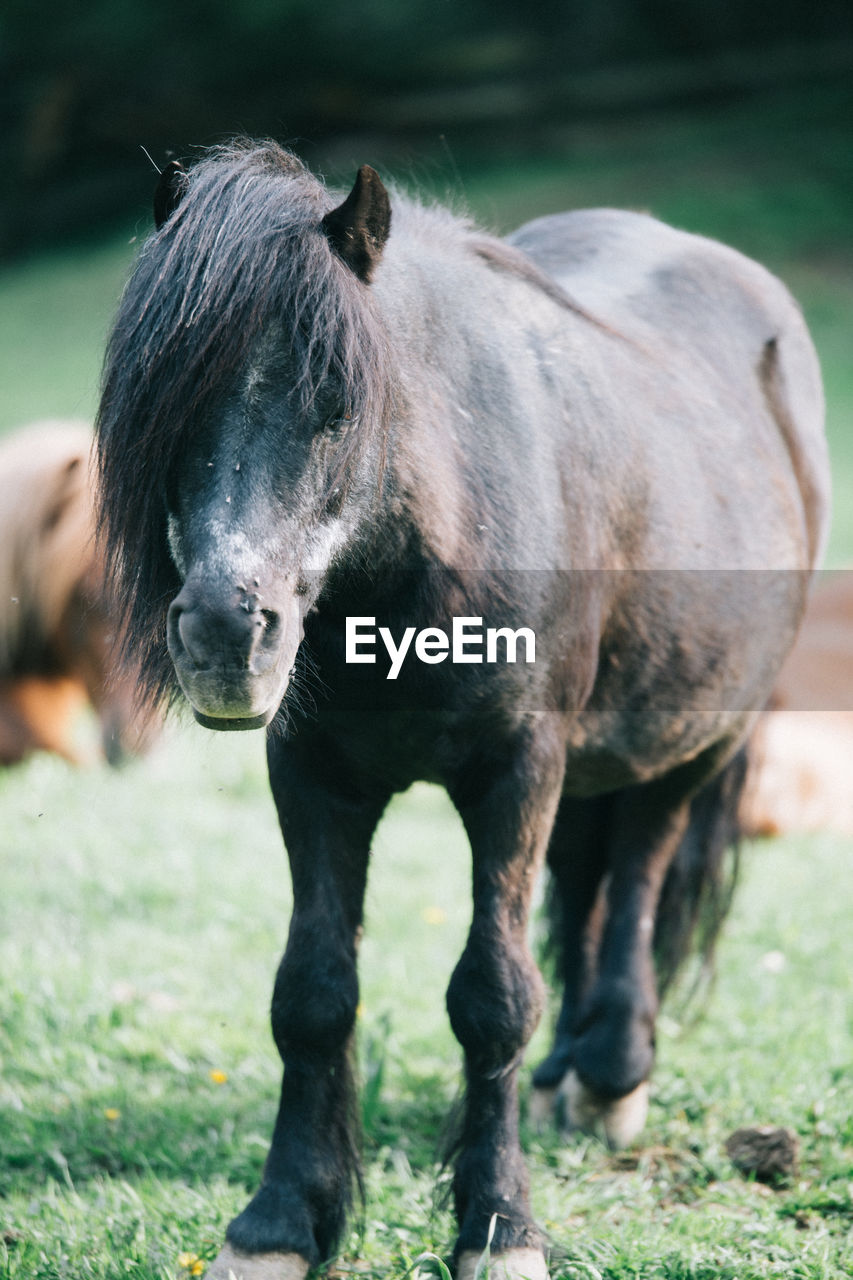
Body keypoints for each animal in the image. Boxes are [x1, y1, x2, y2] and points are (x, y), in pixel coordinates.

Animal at [96, 142, 824, 1280]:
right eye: (172, 402)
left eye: (335, 403)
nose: (222, 631)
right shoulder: (315, 776)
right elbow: (312, 993)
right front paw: (279, 1224)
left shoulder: (515, 769)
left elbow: (492, 996)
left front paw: (497, 1225)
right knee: (587, 879)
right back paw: (567, 1074)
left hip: (695, 742)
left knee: (640, 870)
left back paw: (609, 1075)